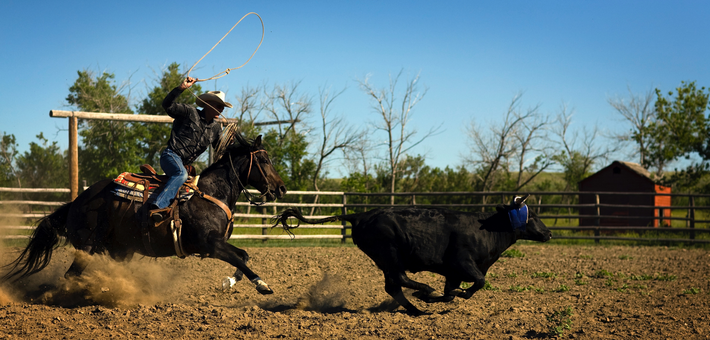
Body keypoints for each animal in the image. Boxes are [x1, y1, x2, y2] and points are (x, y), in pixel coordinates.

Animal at [3, 134, 286, 294]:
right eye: (264, 160)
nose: (281, 188)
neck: (209, 194)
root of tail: (76, 202)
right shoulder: (211, 245)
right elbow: (241, 259)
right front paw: (263, 285)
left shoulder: (216, 245)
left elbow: (243, 256)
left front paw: (229, 282)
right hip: (88, 247)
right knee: (71, 275)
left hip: (121, 250)